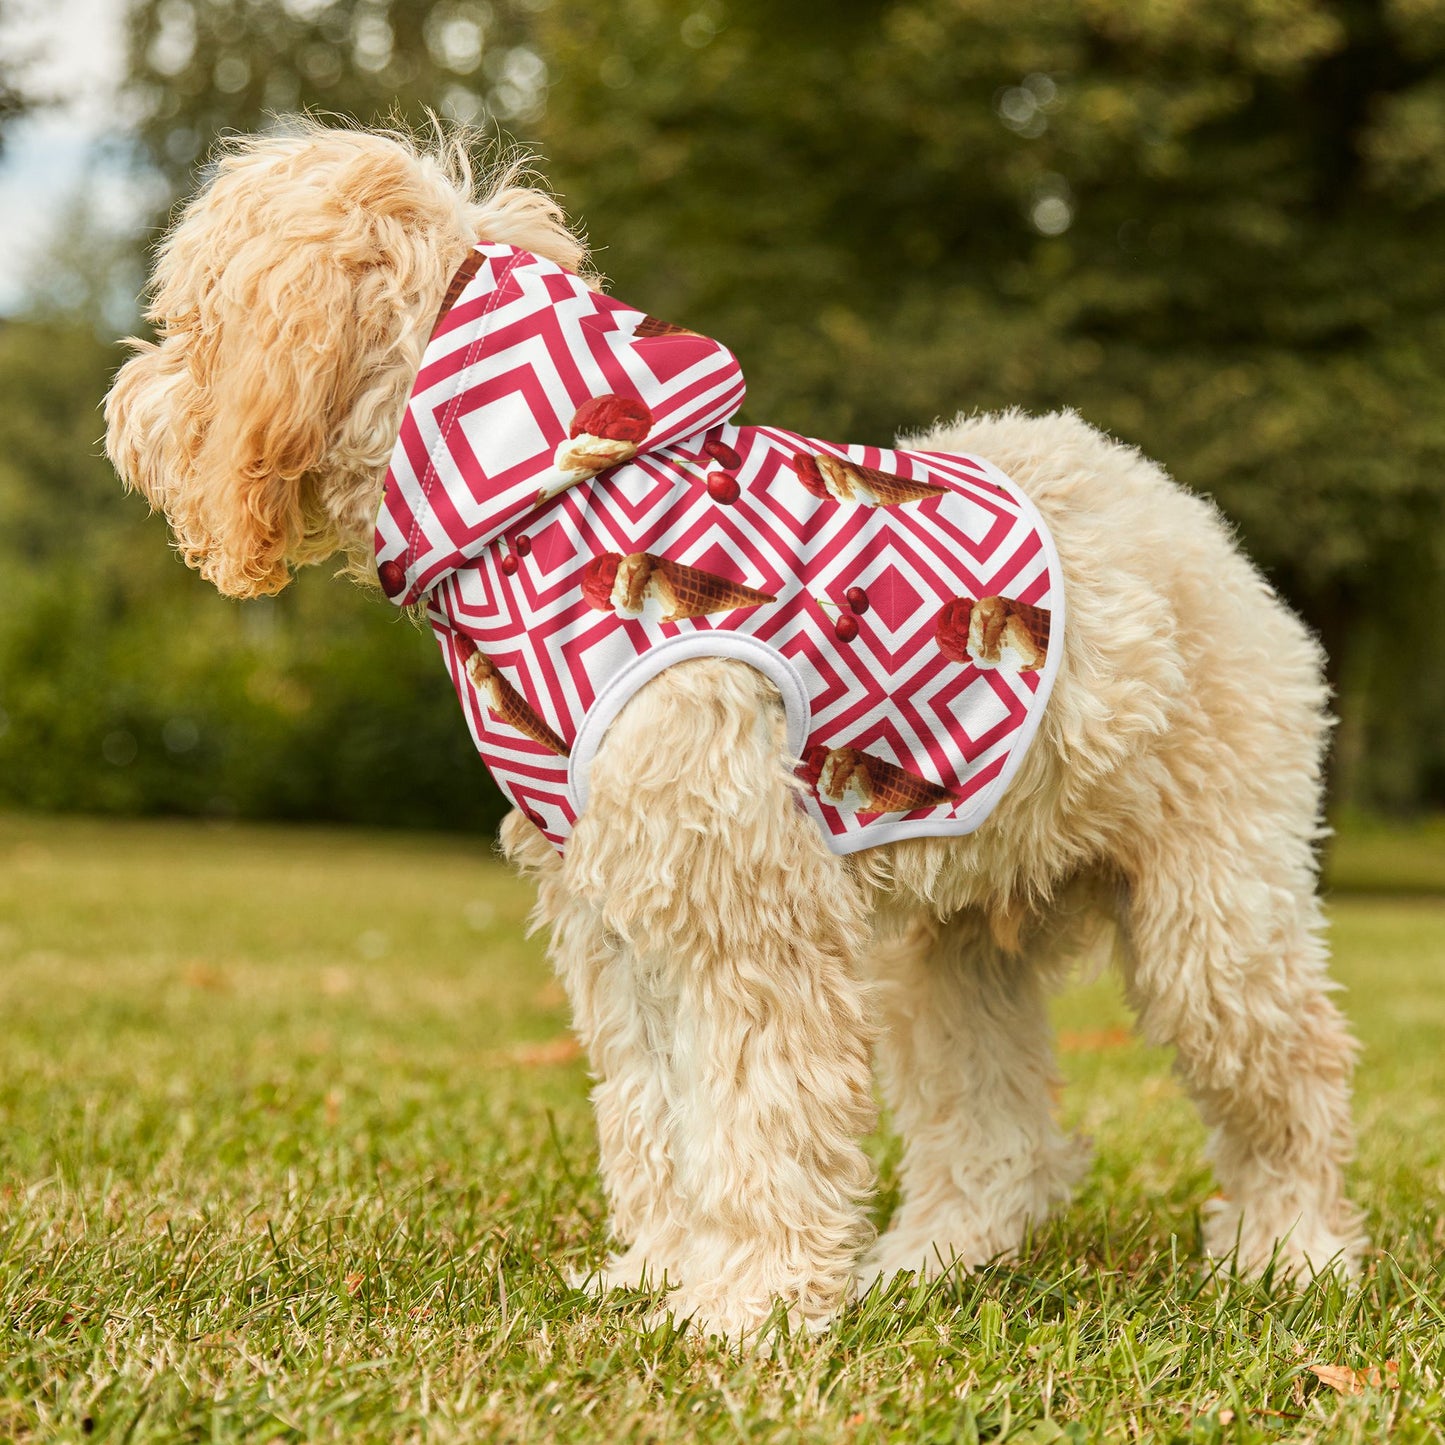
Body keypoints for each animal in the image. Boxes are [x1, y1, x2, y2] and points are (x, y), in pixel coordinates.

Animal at [104, 124, 1364, 1340]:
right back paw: (928, 1261)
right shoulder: (618, 914)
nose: (123, 410)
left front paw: (747, 1305)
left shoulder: (745, 907)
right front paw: (662, 1273)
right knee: (996, 1135)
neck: (548, 500)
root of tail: (1188, 518)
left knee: (1293, 1075)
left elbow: (759, 1111)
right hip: (947, 949)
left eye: (190, 319)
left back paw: (1290, 1252)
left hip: (1212, 914)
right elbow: (655, 1111)